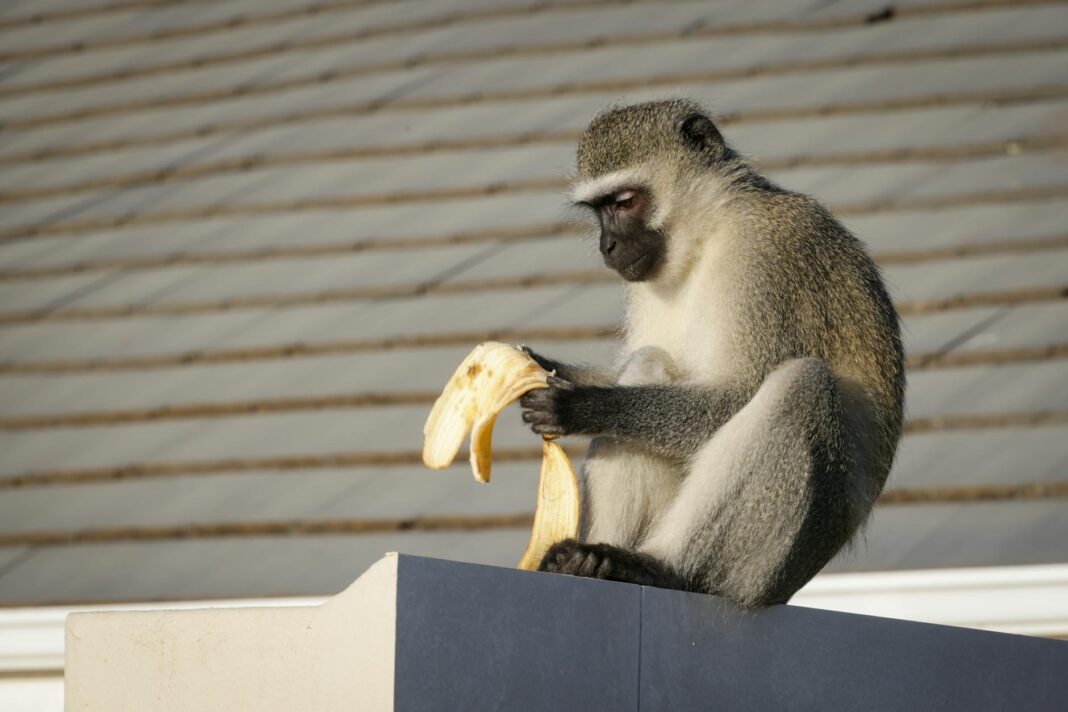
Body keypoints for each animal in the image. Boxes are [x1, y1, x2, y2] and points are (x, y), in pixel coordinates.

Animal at [519, 98, 904, 608]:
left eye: (623, 202)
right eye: (598, 210)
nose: (608, 245)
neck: (707, 231)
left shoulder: (762, 257)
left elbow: (736, 395)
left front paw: (581, 405)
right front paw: (549, 369)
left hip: (767, 571)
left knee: (801, 389)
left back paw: (659, 567)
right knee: (649, 362)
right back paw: (588, 561)